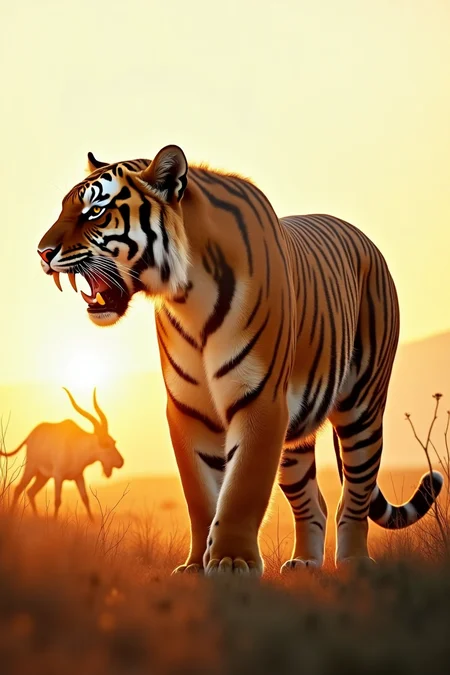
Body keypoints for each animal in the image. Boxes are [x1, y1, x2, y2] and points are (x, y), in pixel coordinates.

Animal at [0, 388, 124, 519]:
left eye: (114, 441)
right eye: (106, 444)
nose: (120, 462)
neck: (76, 445)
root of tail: (30, 436)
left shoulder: (78, 476)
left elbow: (85, 499)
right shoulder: (58, 476)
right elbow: (57, 501)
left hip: (42, 476)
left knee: (30, 492)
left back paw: (36, 517)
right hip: (31, 468)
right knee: (19, 489)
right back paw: (12, 516)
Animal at [37, 144, 443, 576]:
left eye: (95, 211)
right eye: (64, 207)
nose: (42, 252)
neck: (188, 295)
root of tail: (361, 235)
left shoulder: (261, 398)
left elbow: (242, 486)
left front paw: (232, 561)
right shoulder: (188, 408)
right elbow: (201, 493)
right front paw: (196, 566)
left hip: (361, 408)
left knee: (356, 493)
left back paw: (353, 562)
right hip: (294, 434)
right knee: (312, 502)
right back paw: (304, 562)